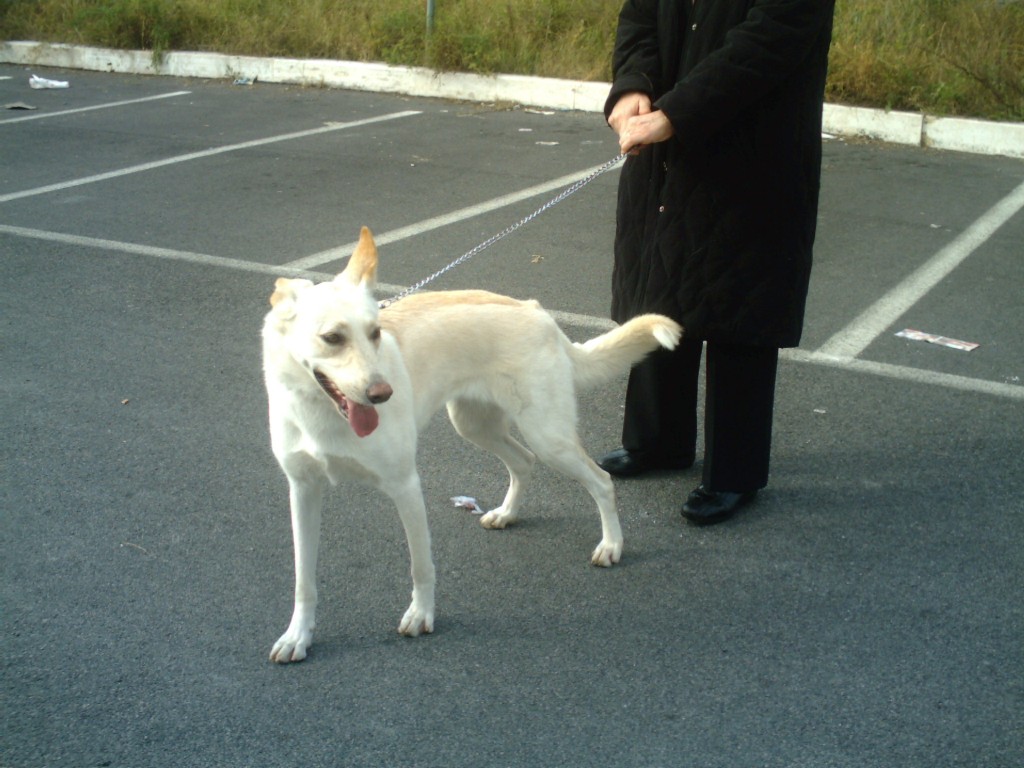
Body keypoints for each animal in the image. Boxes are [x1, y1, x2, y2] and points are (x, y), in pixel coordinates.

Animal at [262, 227, 679, 663]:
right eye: (332, 338)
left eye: (375, 333)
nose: (383, 394)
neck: (323, 415)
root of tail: (540, 315)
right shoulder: (303, 491)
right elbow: (303, 580)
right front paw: (298, 636)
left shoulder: (406, 487)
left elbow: (421, 566)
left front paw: (421, 615)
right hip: (475, 426)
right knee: (523, 462)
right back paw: (508, 513)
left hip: (549, 436)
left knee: (600, 481)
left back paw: (612, 545)